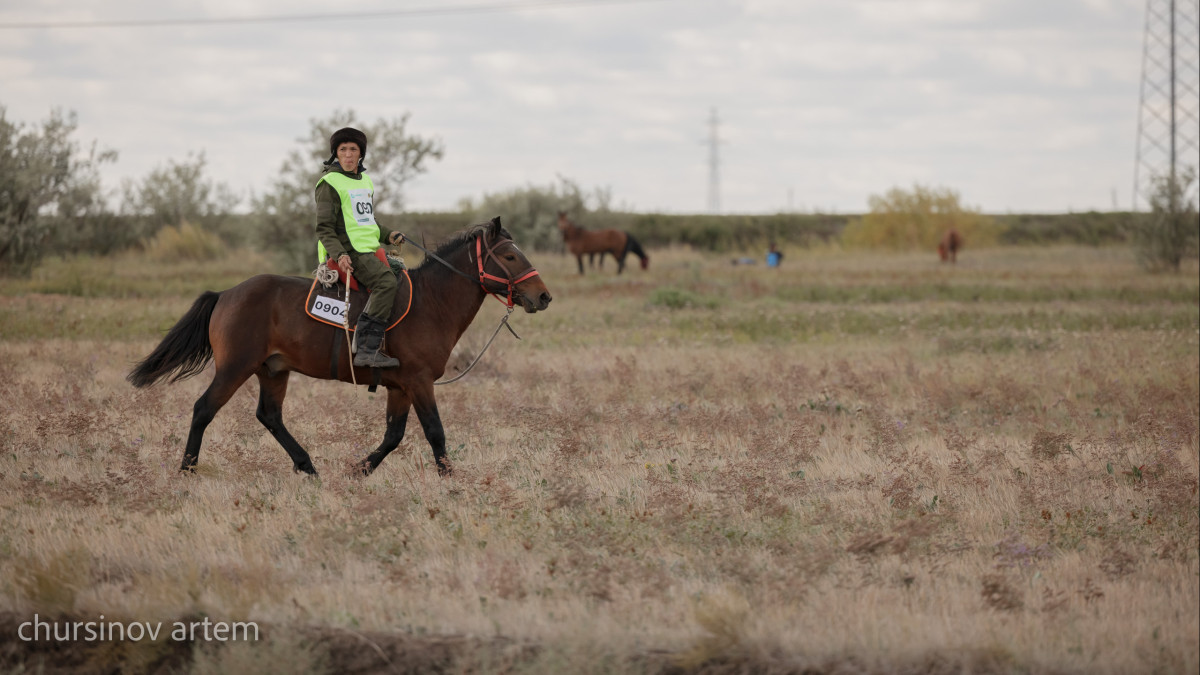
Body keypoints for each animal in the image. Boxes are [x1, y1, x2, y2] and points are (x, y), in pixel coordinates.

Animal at [127, 218, 552, 475]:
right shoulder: (419, 383)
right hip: (235, 368)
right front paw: (452, 481)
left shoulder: (400, 387)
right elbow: (435, 432)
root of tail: (226, 294)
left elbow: (393, 436)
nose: (544, 296)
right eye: (510, 256)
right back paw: (187, 470)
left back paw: (308, 467)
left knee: (269, 416)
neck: (431, 301)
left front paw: (359, 471)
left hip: (273, 370)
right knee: (203, 409)